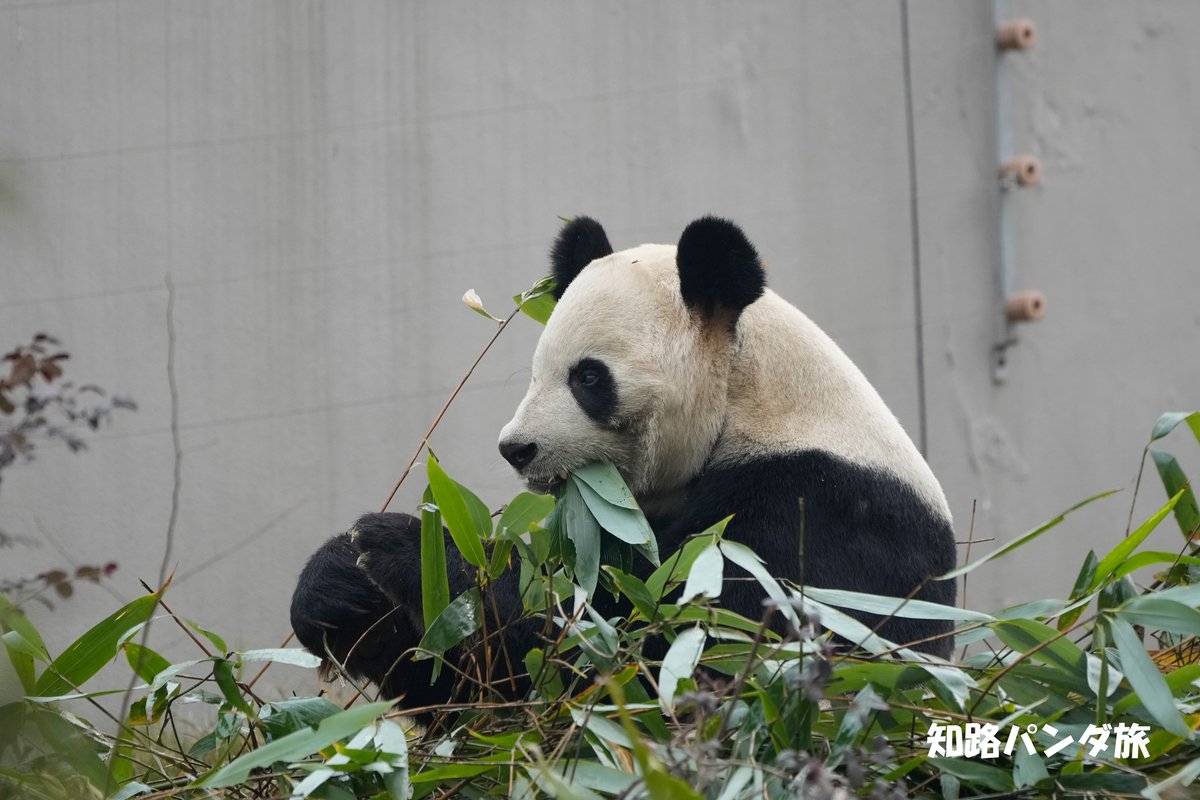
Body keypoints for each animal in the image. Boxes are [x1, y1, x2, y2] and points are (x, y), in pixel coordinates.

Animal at [290, 216, 958, 711]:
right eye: (535, 372)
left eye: (588, 377)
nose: (516, 448)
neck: (745, 397)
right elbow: (474, 686)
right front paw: (339, 583)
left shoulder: (821, 513)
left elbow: (663, 653)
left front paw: (402, 545)